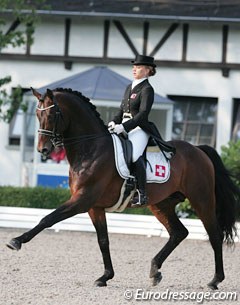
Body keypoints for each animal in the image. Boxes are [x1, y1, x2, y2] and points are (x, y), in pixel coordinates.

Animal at [6, 87, 239, 288]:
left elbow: (48, 218)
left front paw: (16, 241)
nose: (43, 149)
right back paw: (155, 270)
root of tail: (198, 150)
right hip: (161, 204)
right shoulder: (95, 207)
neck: (91, 149)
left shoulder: (82, 201)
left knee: (214, 234)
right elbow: (103, 241)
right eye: (37, 115)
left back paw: (215, 280)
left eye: (54, 113)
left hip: (202, 200)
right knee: (178, 232)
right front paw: (105, 277)